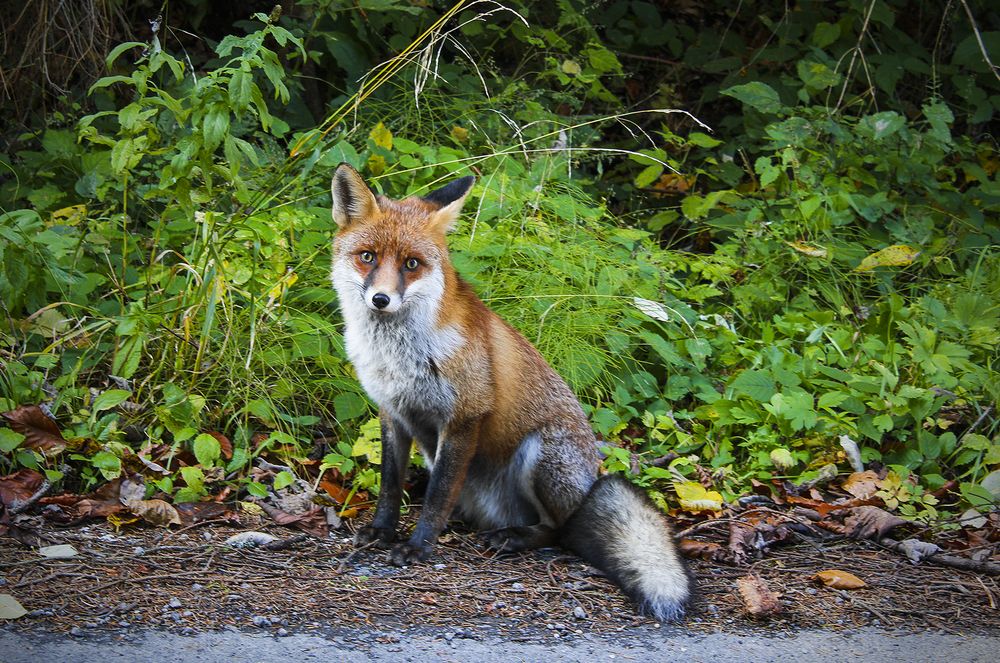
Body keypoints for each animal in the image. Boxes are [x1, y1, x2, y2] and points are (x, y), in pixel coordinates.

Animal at [329, 163, 691, 621]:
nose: (381, 299)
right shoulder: (392, 412)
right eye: (368, 257)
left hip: (542, 455)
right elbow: (390, 485)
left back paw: (515, 538)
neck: (400, 355)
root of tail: (590, 485)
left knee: (560, 530)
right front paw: (381, 531)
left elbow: (437, 494)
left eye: (411, 264)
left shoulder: (464, 416)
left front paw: (418, 547)